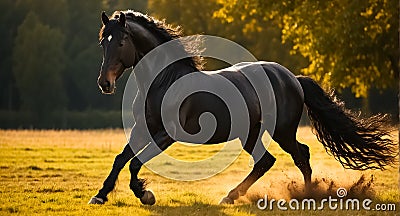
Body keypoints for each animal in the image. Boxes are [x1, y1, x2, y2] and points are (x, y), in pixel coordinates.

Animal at [88, 10, 396, 206]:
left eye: (122, 41)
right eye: (103, 41)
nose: (104, 83)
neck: (164, 82)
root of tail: (292, 78)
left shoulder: (168, 134)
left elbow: (135, 162)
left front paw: (145, 194)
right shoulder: (144, 128)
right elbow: (121, 159)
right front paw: (100, 195)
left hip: (282, 131)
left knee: (299, 156)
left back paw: (302, 196)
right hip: (250, 133)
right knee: (268, 161)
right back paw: (232, 195)